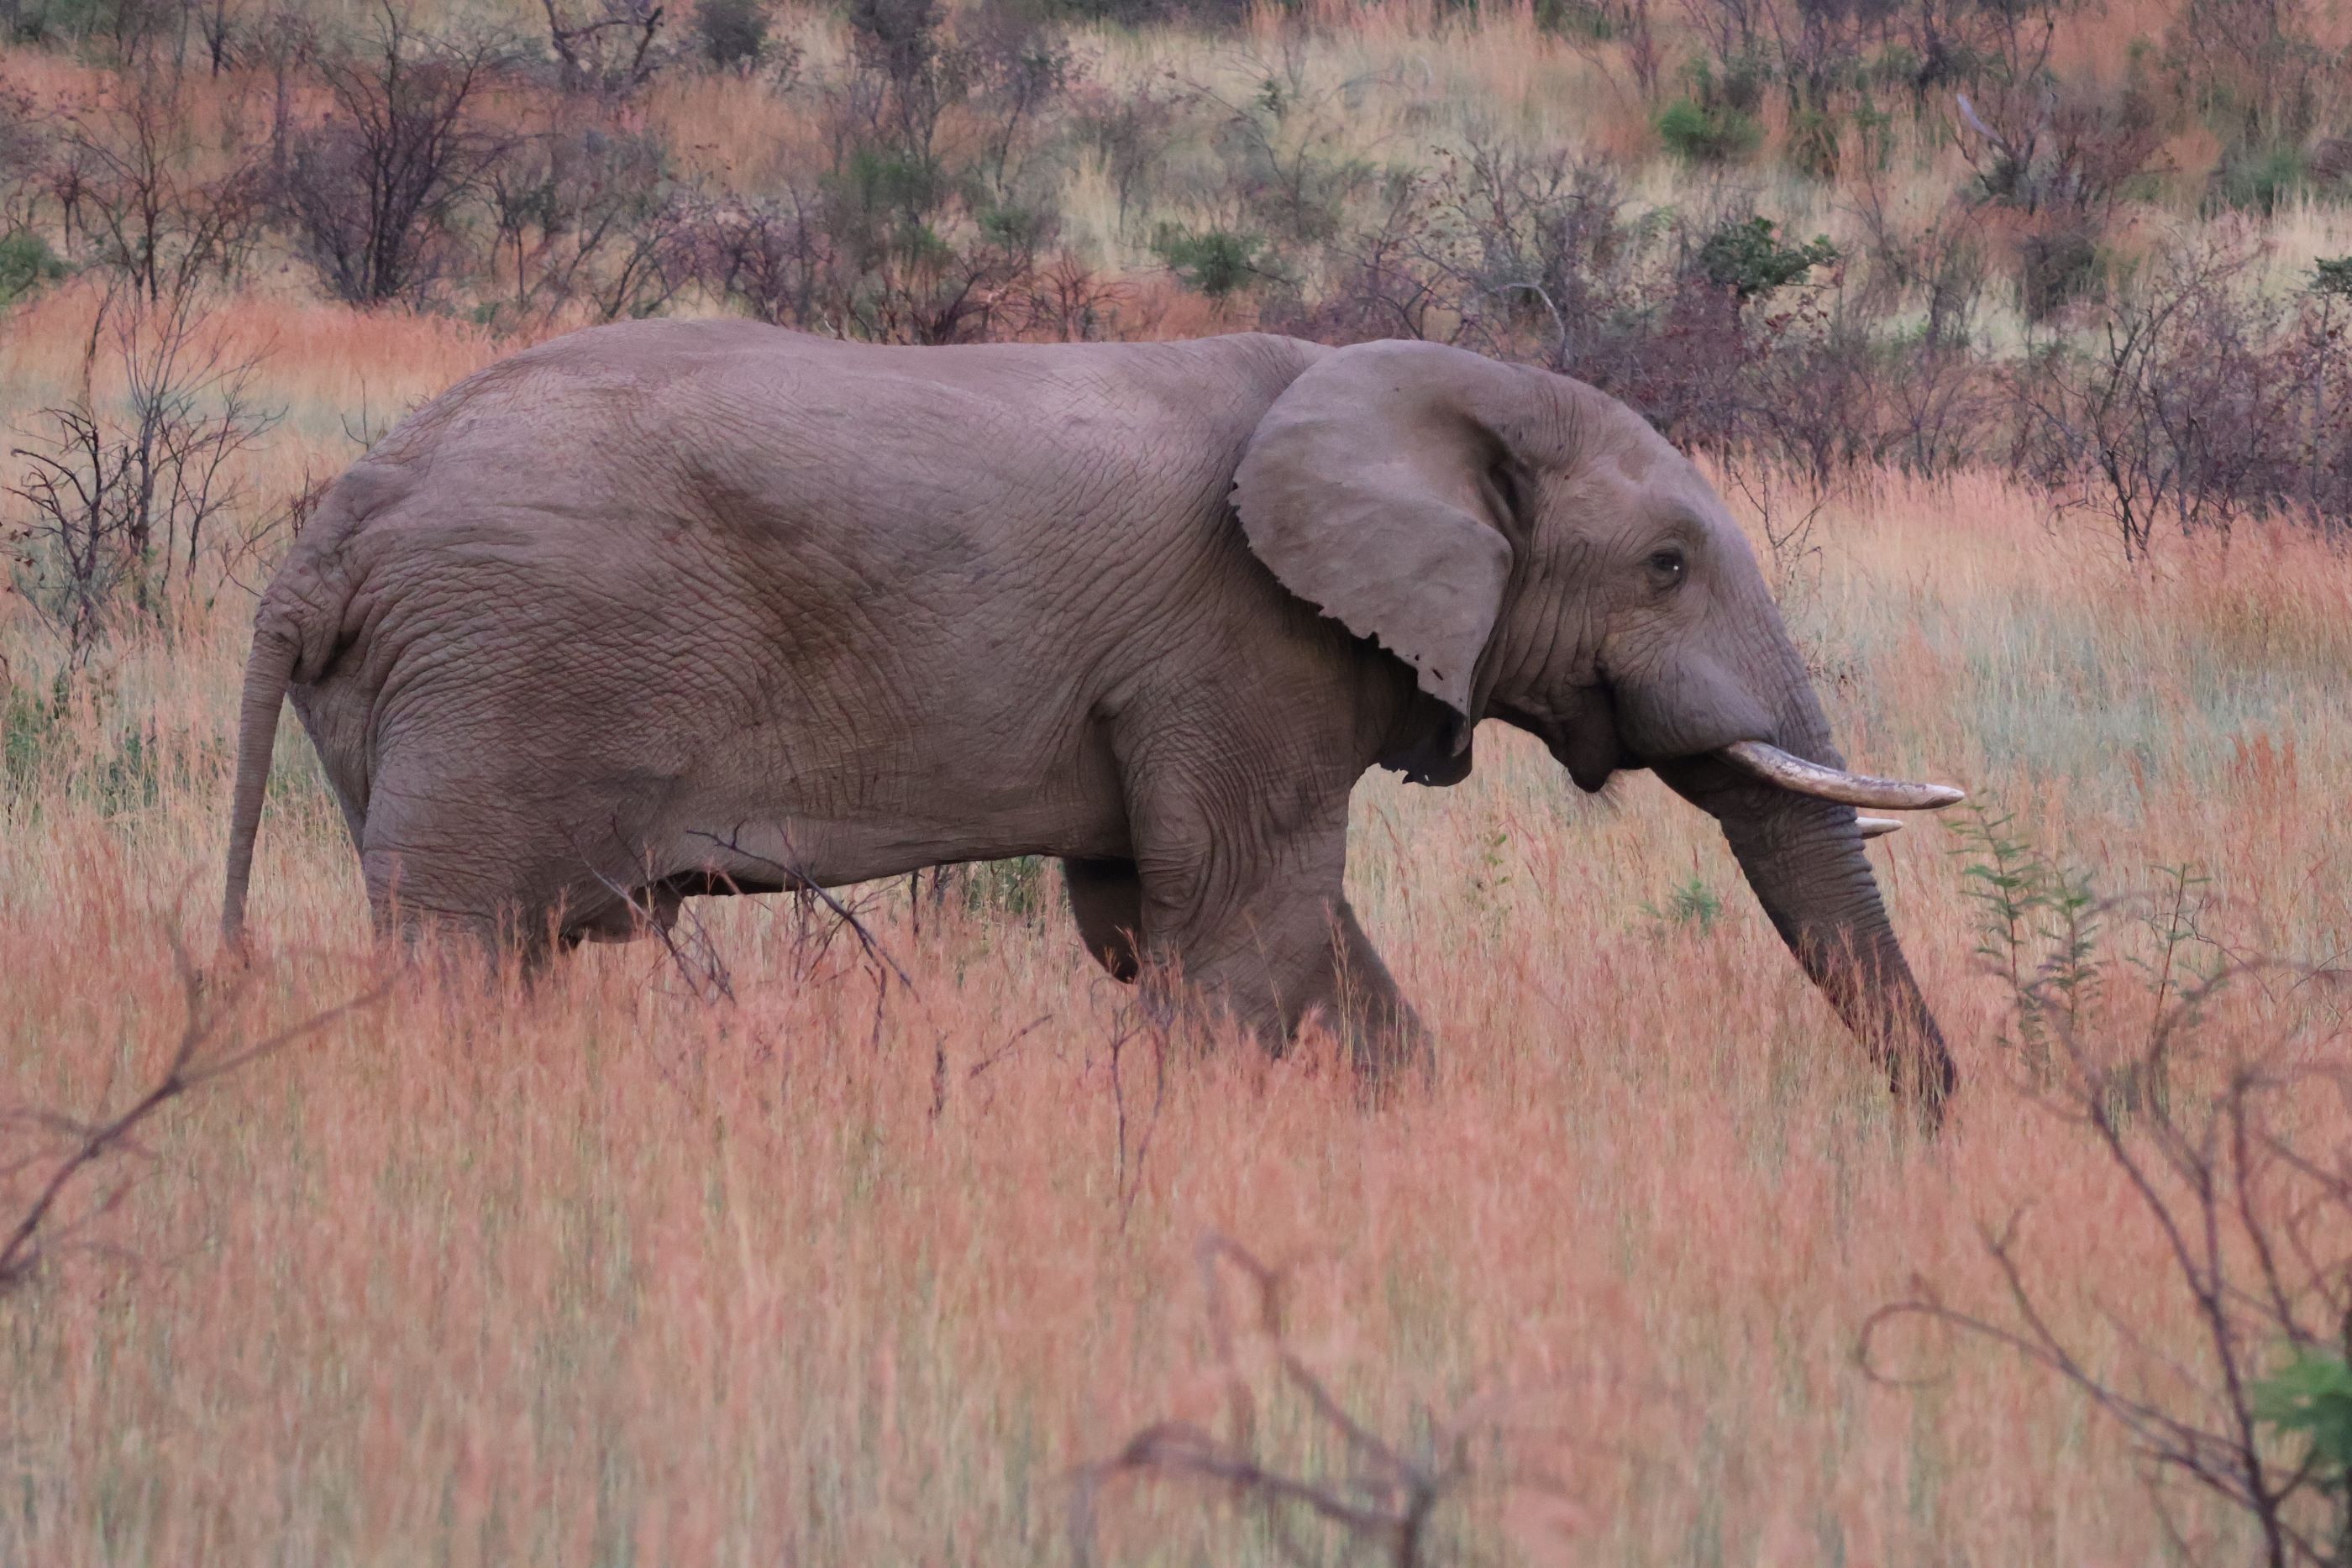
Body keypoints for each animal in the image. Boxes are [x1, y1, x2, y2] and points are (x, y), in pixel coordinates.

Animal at [220, 323, 1965, 1110]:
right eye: (1666, 564)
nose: (1940, 1126)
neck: (1411, 379)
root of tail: (330, 532)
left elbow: (1193, 924)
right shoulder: (1240, 642)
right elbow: (1245, 927)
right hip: (506, 672)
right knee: (462, 952)